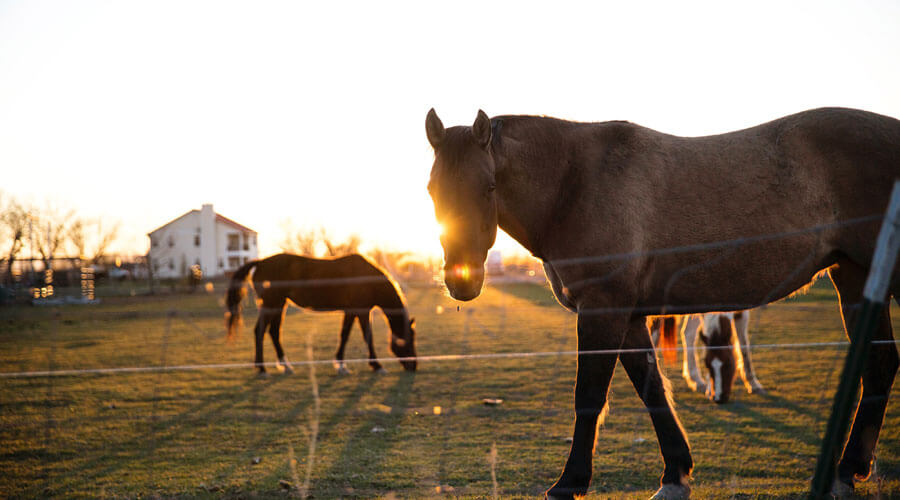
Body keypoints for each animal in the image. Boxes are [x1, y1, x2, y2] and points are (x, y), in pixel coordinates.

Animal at [229, 254, 418, 376]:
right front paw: (375, 366)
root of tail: (260, 263)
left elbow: (346, 335)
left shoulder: (353, 311)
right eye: (408, 340)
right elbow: (363, 336)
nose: (413, 365)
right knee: (260, 331)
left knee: (273, 332)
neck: (367, 278)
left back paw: (285, 366)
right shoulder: (360, 311)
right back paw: (262, 369)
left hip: (279, 304)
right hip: (271, 304)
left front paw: (342, 365)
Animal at [426, 107, 900, 498]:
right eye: (432, 190)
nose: (462, 281)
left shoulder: (602, 312)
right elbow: (651, 387)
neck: (575, 184)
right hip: (854, 277)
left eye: (489, 187)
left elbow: (590, 396)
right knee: (880, 364)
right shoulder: (630, 317)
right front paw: (675, 472)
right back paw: (847, 470)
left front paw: (569, 482)